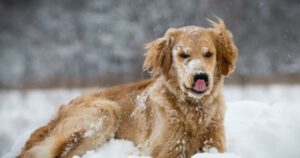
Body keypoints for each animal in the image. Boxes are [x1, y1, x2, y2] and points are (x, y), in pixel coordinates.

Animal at [18, 19, 239, 158]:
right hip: (104, 112)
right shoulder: (165, 149)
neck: (194, 110)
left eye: (208, 54)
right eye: (183, 55)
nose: (200, 76)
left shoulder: (215, 145)